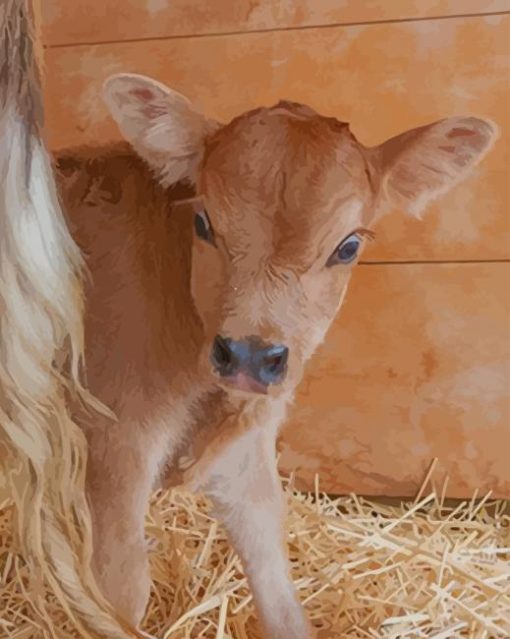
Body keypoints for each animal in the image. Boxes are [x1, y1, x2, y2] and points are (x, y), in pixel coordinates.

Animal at [52, 72, 498, 636]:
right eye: (203, 222)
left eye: (348, 247)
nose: (248, 355)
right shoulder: (114, 445)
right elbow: (123, 590)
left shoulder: (247, 454)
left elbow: (276, 581)